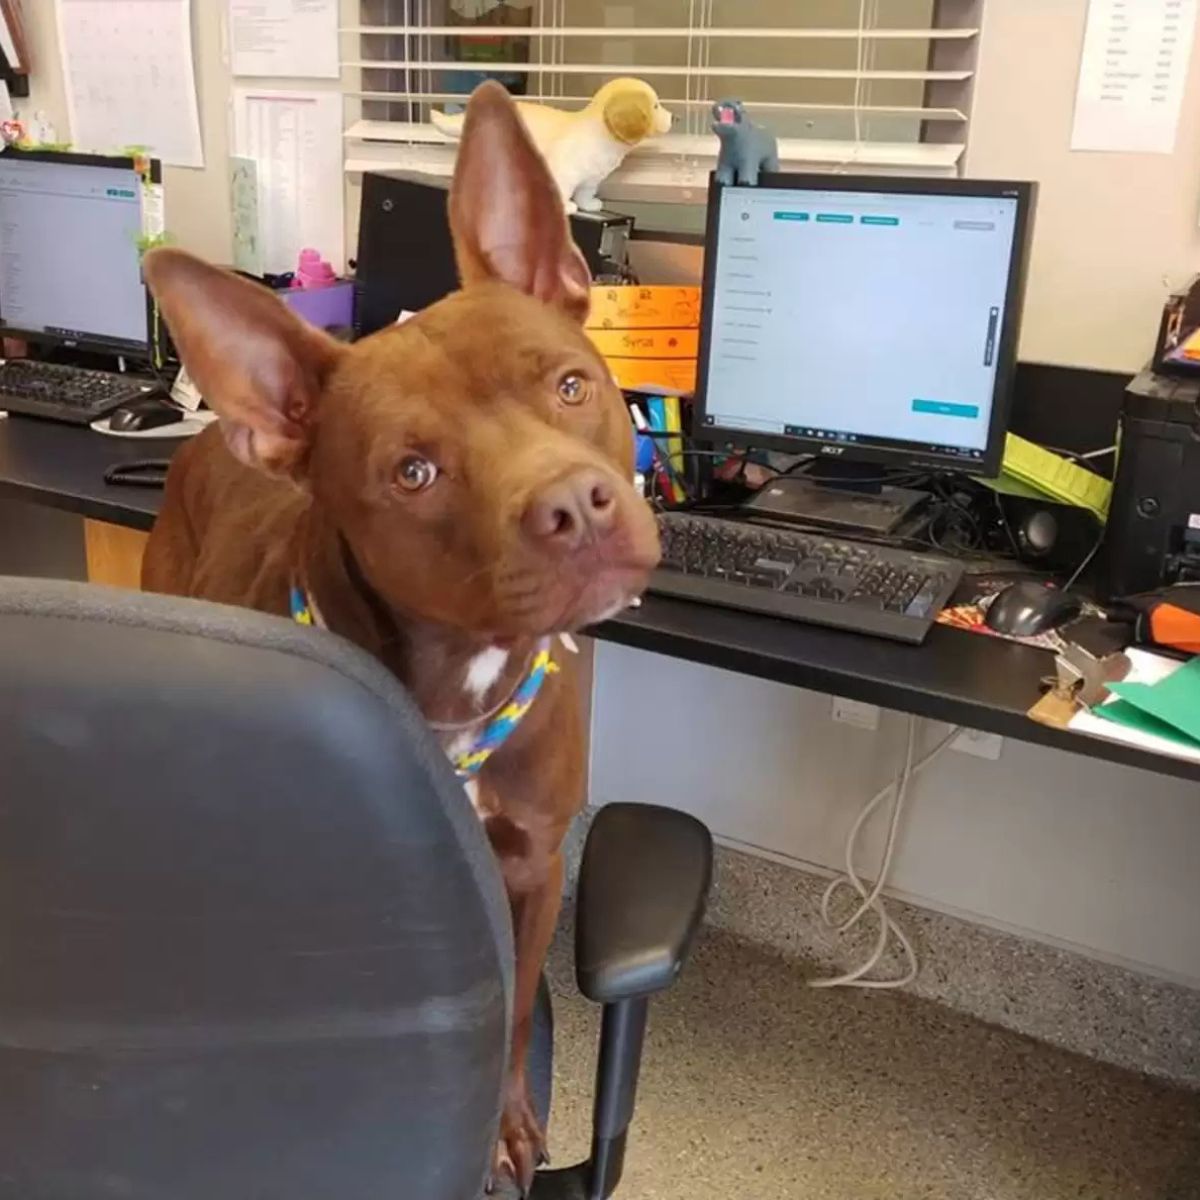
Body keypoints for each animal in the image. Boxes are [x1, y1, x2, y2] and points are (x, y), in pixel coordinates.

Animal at [144, 82, 662, 1190]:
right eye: (413, 472)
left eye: (569, 385)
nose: (576, 507)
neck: (458, 691)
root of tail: (213, 430)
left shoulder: (533, 870)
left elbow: (511, 1016)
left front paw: (504, 1123)